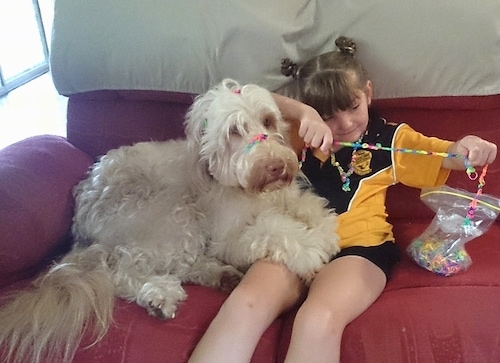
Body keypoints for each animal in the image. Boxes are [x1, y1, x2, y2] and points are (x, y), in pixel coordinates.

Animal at [0, 79, 340, 363]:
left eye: (268, 120)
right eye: (233, 131)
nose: (275, 166)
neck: (252, 193)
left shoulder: (286, 197)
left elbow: (308, 206)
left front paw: (324, 227)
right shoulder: (228, 235)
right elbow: (274, 230)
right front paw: (309, 247)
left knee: (179, 265)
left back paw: (220, 276)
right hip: (172, 216)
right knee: (123, 269)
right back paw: (159, 295)